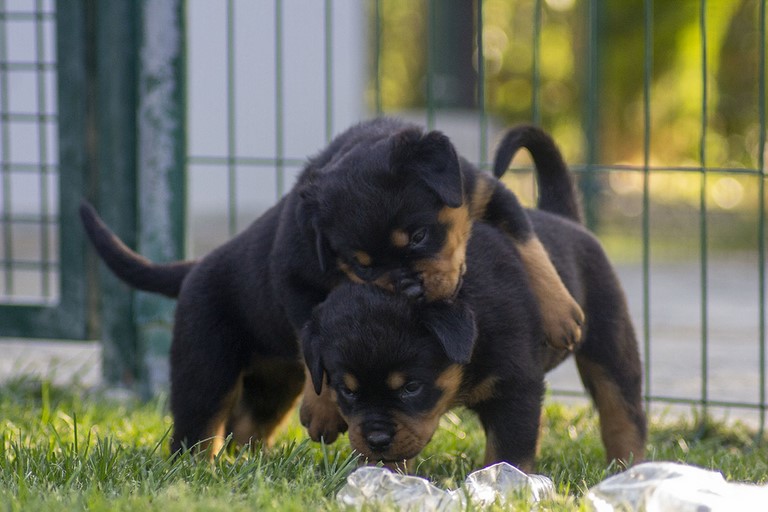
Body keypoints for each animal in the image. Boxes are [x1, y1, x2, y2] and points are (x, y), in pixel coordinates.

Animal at [304, 128, 644, 472]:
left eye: (412, 387)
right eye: (346, 391)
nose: (376, 439)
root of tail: (564, 218)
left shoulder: (517, 389)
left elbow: (508, 454)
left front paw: (507, 482)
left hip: (611, 341)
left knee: (622, 409)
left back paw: (627, 466)